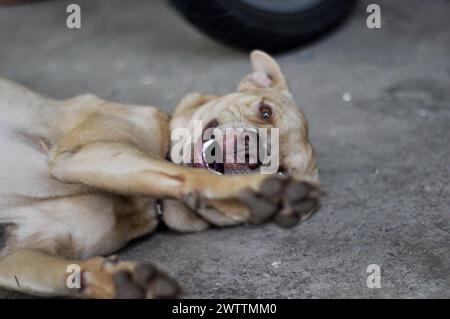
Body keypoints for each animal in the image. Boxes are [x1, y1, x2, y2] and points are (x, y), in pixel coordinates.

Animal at [0, 51, 320, 298]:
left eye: (283, 171)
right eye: (266, 112)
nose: (251, 153)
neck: (146, 205)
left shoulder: (13, 255)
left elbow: (70, 273)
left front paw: (116, 281)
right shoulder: (78, 155)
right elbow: (186, 174)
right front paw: (247, 188)